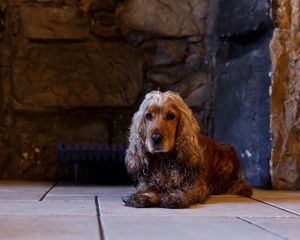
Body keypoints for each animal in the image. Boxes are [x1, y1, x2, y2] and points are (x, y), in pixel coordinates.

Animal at [123, 90, 252, 208]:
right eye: (148, 116)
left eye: (171, 116)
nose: (156, 138)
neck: (164, 160)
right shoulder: (147, 180)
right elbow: (148, 188)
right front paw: (143, 196)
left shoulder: (195, 183)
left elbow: (185, 189)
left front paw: (174, 196)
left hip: (226, 163)